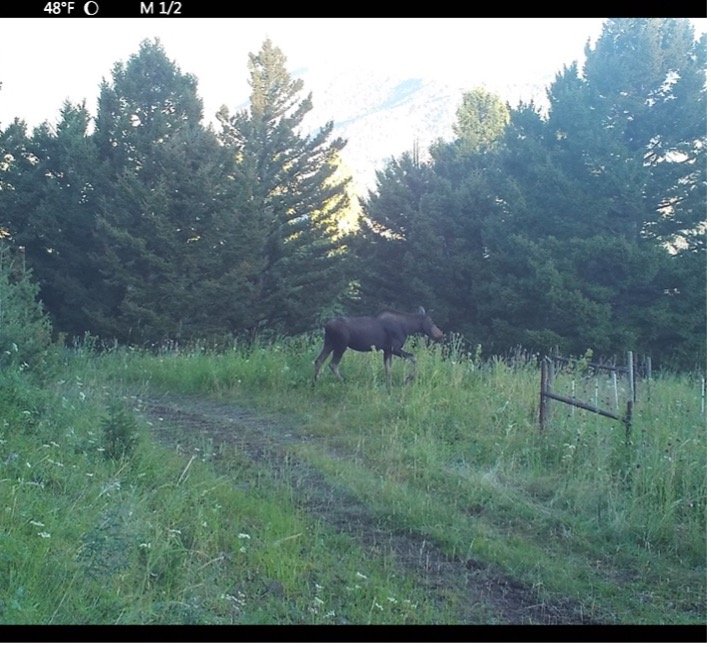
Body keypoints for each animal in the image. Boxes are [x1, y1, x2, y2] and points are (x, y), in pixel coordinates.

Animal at [312, 308, 442, 388]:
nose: (441, 335)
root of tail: (326, 326)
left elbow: (388, 369)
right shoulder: (394, 348)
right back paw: (343, 382)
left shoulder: (387, 350)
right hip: (341, 345)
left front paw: (389, 386)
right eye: (430, 321)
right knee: (332, 364)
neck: (407, 328)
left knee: (318, 360)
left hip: (329, 344)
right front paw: (408, 379)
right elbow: (414, 358)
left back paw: (315, 383)